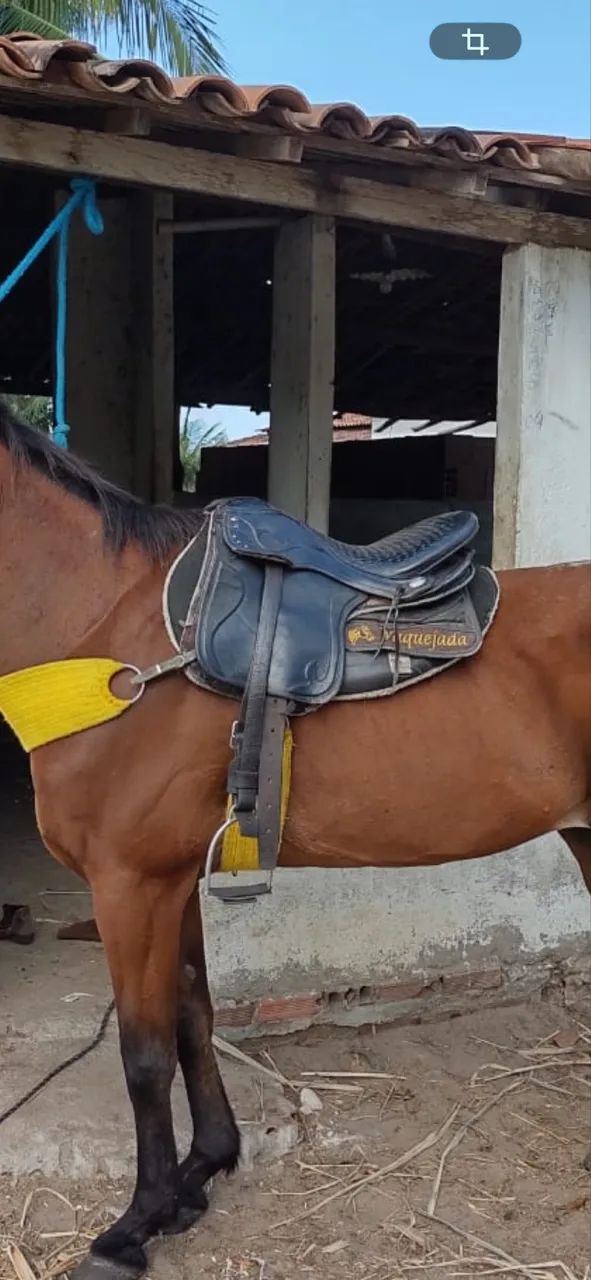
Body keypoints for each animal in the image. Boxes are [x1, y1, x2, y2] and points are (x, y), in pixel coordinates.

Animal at [0, 403, 589, 1280]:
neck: (99, 631)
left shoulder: (129, 883)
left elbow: (143, 1055)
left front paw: (133, 1226)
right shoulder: (169, 878)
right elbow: (193, 1015)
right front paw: (200, 1173)